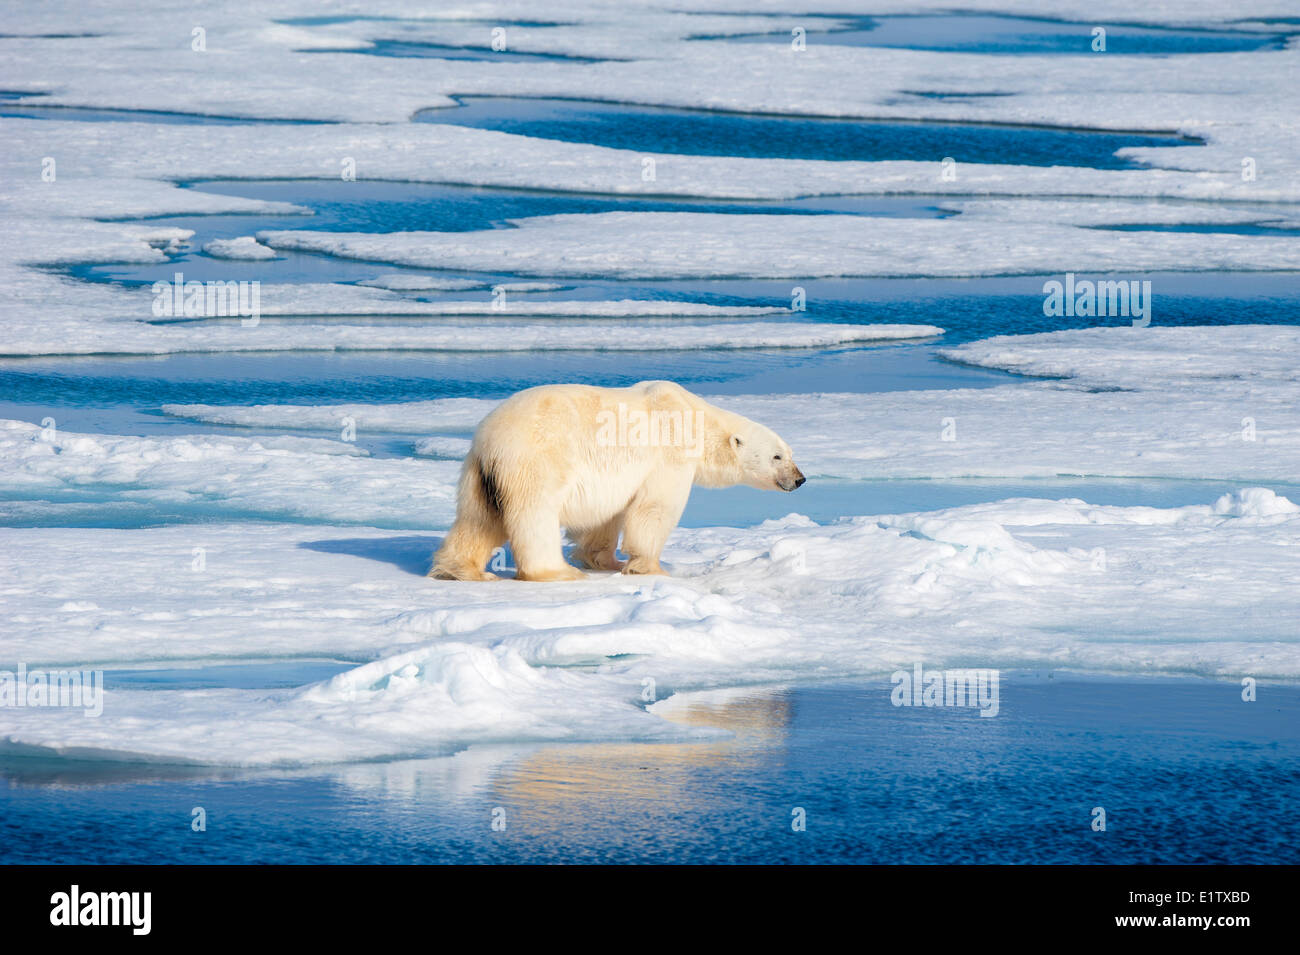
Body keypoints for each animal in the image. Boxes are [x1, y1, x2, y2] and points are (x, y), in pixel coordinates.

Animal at [431, 382, 806, 582]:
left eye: (790, 452)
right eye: (777, 457)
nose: (800, 479)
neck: (697, 420)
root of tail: (490, 441)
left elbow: (606, 515)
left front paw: (604, 560)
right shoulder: (668, 453)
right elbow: (654, 509)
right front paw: (651, 568)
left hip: (478, 475)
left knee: (477, 520)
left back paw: (462, 570)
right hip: (537, 462)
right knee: (535, 516)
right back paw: (557, 572)